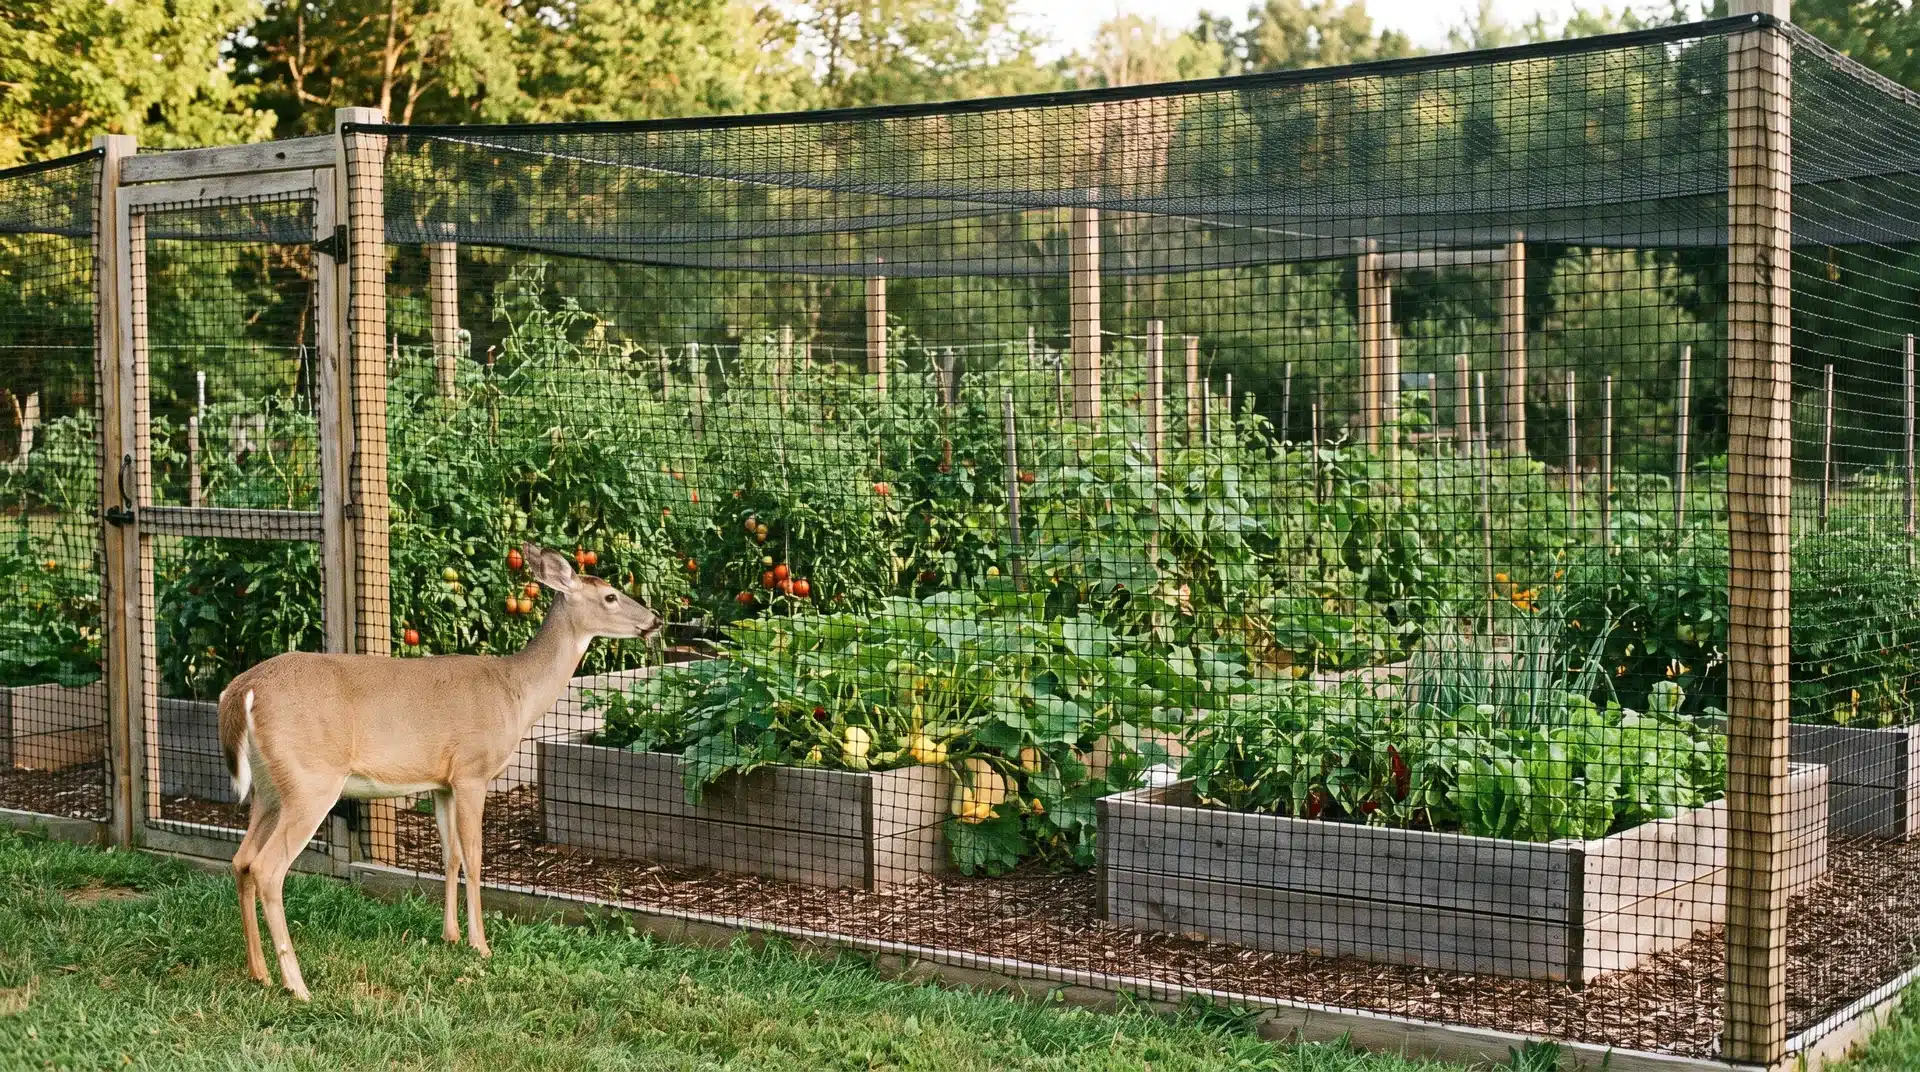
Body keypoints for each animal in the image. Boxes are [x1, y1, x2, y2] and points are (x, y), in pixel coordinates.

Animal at [217, 543, 662, 1000]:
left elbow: (450, 857)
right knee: (267, 868)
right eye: (610, 596)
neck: (516, 692)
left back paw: (259, 972)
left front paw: (451, 935)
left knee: (241, 860)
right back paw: (297, 985)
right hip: (311, 781)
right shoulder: (472, 771)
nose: (655, 621)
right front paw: (480, 944)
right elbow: (476, 859)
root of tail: (241, 691)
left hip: (270, 789)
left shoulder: (441, 782)